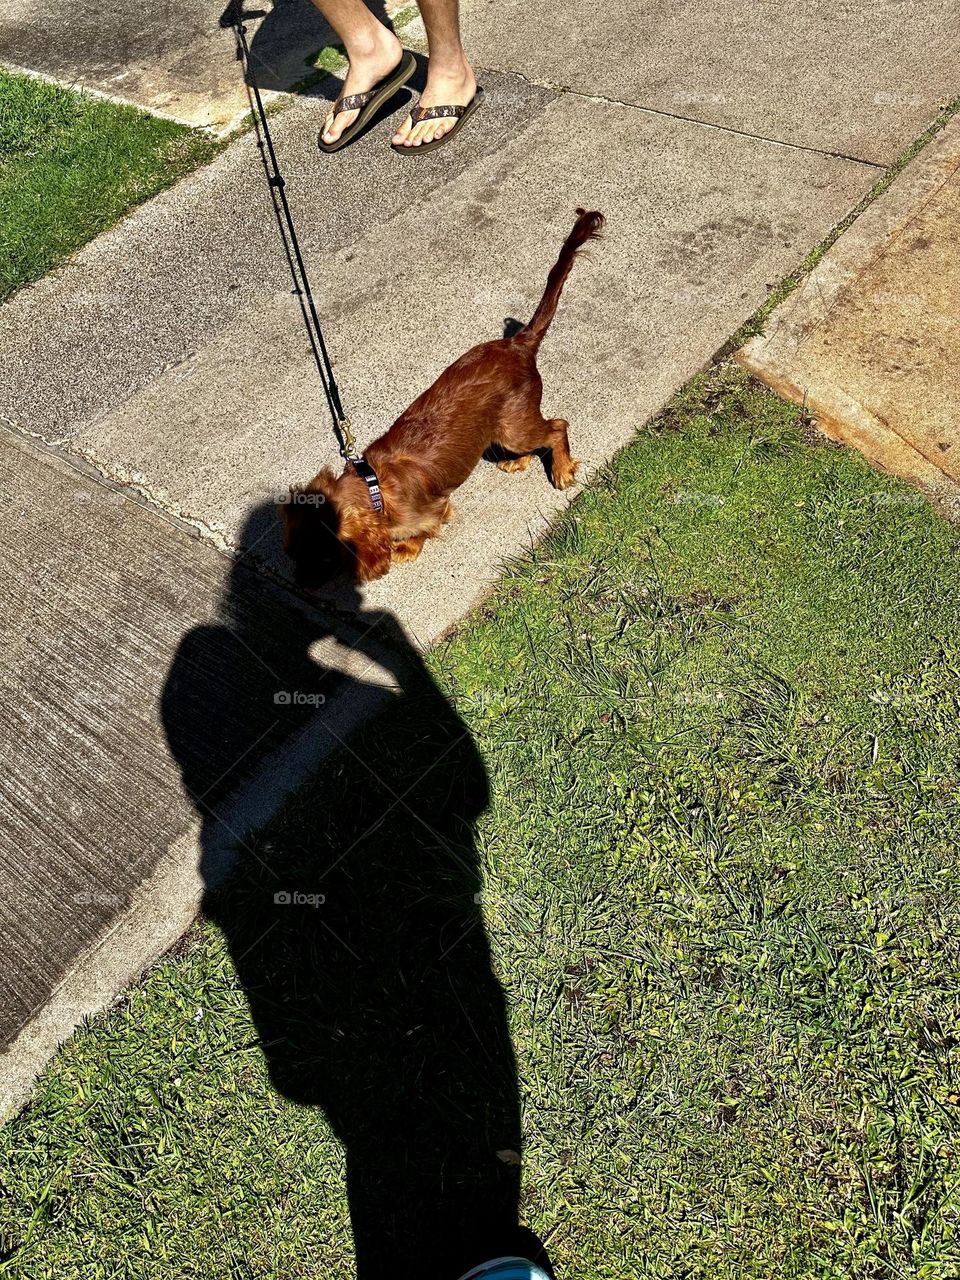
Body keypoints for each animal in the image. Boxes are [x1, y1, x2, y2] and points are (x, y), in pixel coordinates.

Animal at [281, 207, 604, 586]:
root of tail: (517, 344)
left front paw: (406, 548)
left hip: (515, 426)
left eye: (321, 558)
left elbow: (423, 530)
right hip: (507, 427)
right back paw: (519, 461)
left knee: (556, 426)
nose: (298, 585)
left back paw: (562, 469)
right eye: (293, 555)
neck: (374, 486)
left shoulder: (435, 509)